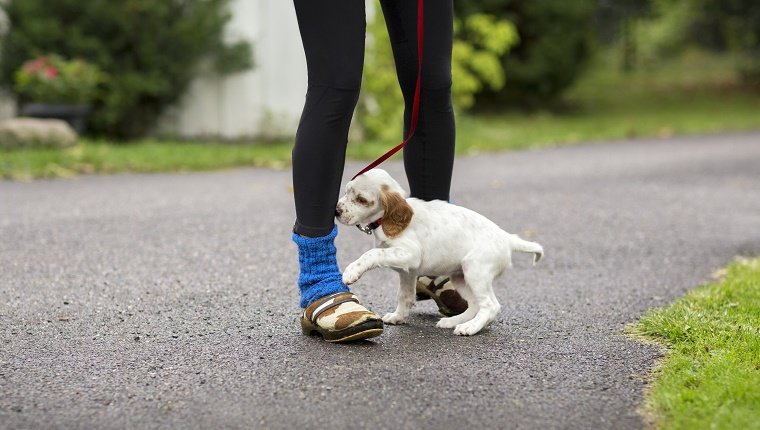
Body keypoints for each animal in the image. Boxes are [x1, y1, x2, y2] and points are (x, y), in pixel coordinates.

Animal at [336, 169, 544, 336]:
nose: (336, 211)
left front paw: (352, 271)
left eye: (361, 200)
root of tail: (507, 238)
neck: (384, 221)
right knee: (475, 304)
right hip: (460, 277)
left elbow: (372, 253)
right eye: (346, 191)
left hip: (475, 270)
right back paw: (453, 321)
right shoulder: (408, 271)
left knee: (491, 306)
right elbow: (405, 295)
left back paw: (470, 327)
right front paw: (398, 316)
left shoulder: (410, 253)